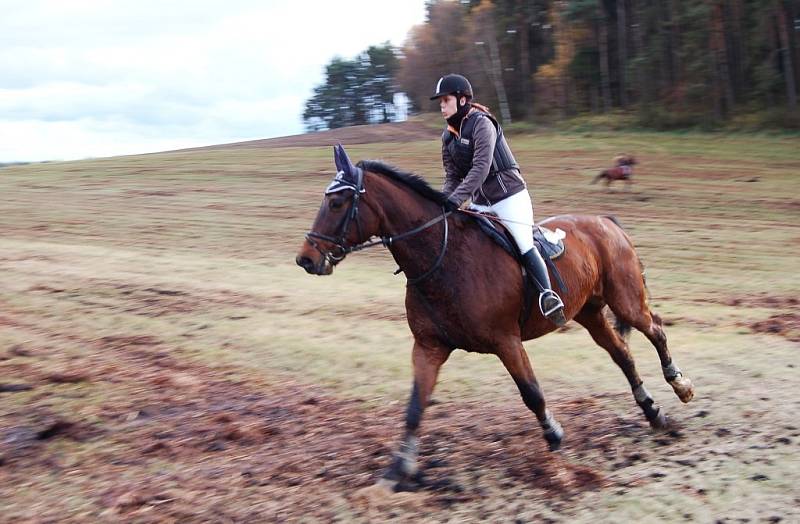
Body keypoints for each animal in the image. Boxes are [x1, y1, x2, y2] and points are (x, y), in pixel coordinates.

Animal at [296, 144, 692, 492]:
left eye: (336, 203)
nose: (306, 259)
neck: (442, 258)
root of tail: (605, 222)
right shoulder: (429, 347)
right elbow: (415, 407)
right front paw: (399, 469)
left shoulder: (506, 341)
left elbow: (531, 392)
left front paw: (553, 435)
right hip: (590, 313)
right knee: (622, 354)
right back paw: (652, 412)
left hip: (625, 301)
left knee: (655, 329)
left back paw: (680, 384)